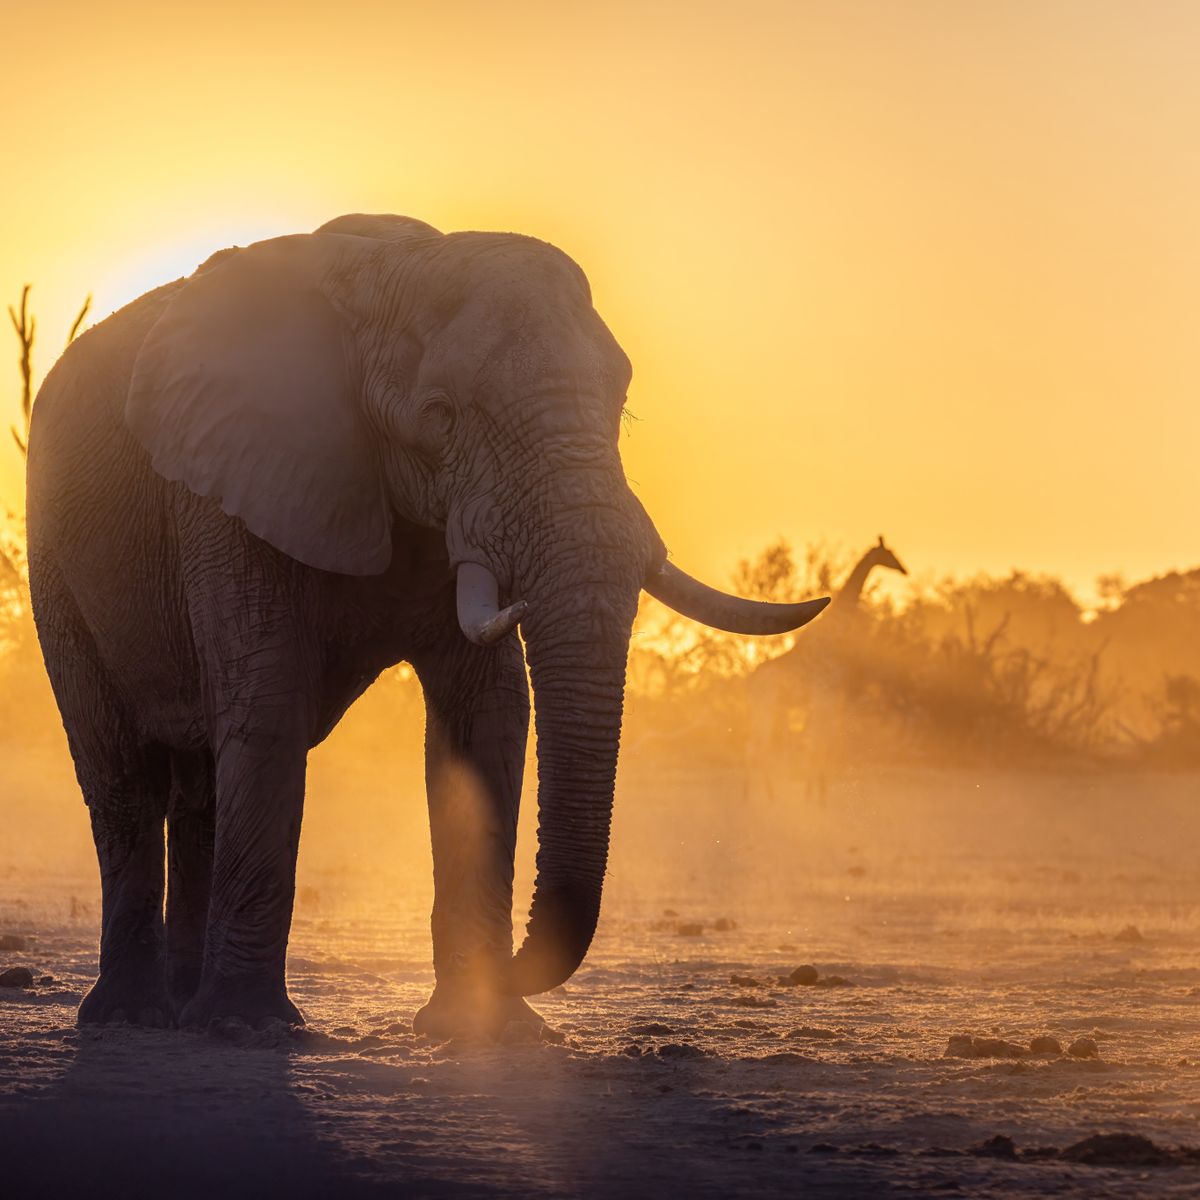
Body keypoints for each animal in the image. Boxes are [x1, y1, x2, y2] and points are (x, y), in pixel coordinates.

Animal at [25, 213, 829, 1036]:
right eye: (441, 416)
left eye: (623, 406)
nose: (513, 965)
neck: (393, 266)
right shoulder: (230, 490)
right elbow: (269, 705)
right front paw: (250, 1031)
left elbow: (489, 713)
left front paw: (486, 1031)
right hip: (56, 559)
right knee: (124, 778)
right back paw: (135, 1016)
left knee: (202, 787)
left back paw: (185, 1010)